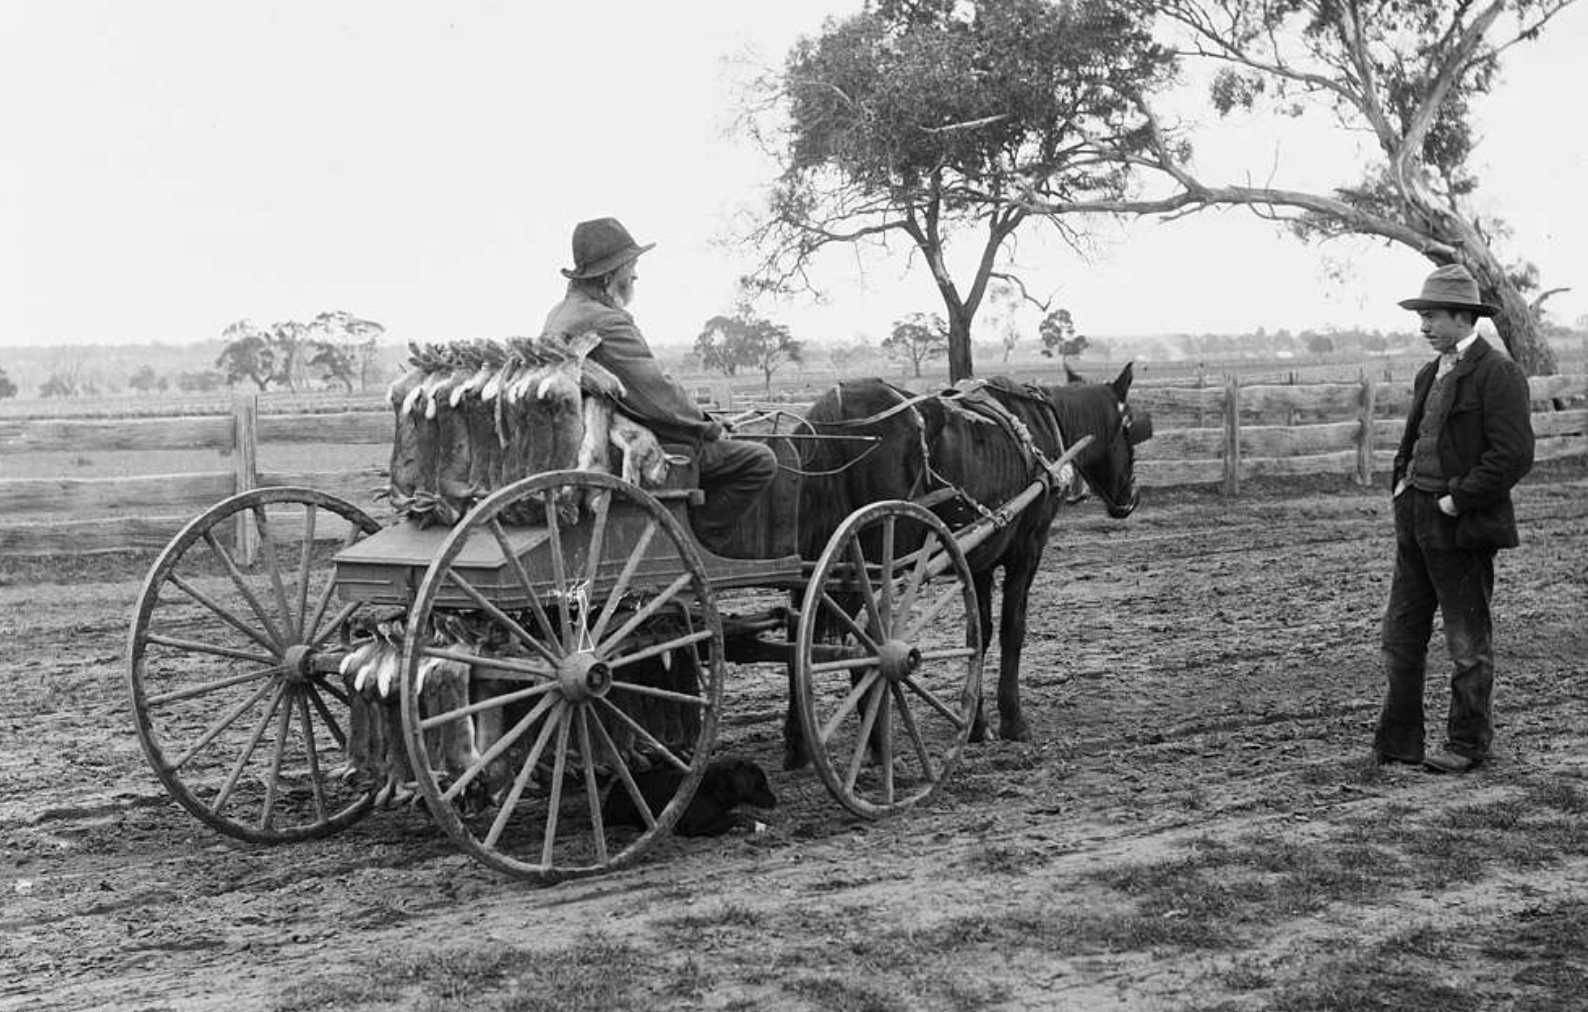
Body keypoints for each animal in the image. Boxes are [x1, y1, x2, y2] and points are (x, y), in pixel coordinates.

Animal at [600, 756, 774, 838]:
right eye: (762, 785)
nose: (775, 801)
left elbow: (742, 814)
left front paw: (764, 821)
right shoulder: (693, 828)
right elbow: (735, 816)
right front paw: (757, 826)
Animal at [790, 363, 1156, 765]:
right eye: (1128, 427)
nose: (1131, 497)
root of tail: (836, 415)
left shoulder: (979, 560)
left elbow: (978, 634)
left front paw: (978, 724)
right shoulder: (1027, 551)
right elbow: (1012, 629)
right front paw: (1013, 721)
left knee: (797, 634)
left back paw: (798, 747)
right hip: (871, 561)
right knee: (865, 639)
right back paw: (876, 746)